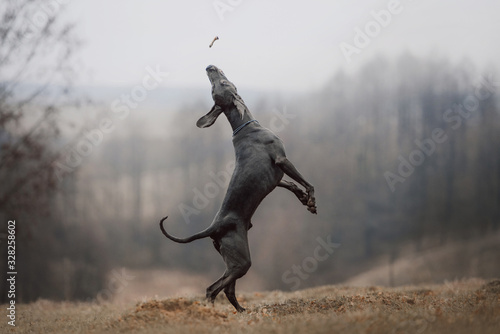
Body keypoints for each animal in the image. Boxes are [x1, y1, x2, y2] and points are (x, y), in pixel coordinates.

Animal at [160, 66, 316, 314]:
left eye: (219, 83)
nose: (209, 67)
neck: (247, 126)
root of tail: (213, 227)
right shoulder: (282, 160)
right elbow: (305, 182)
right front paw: (311, 200)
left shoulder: (274, 178)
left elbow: (291, 185)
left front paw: (303, 199)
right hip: (242, 261)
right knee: (213, 289)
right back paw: (214, 313)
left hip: (231, 259)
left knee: (227, 289)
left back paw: (242, 312)